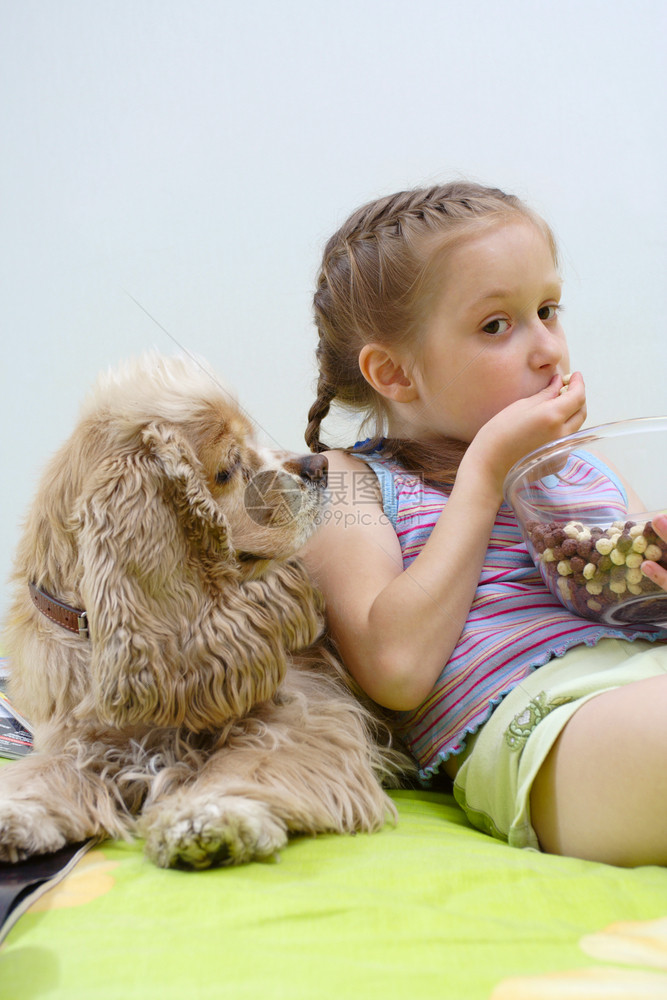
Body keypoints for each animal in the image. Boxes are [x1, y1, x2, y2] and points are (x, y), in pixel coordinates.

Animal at [1, 354, 408, 868]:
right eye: (229, 467)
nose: (319, 463)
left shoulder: (308, 711)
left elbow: (251, 763)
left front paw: (210, 815)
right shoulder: (84, 741)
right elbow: (45, 770)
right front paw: (16, 810)